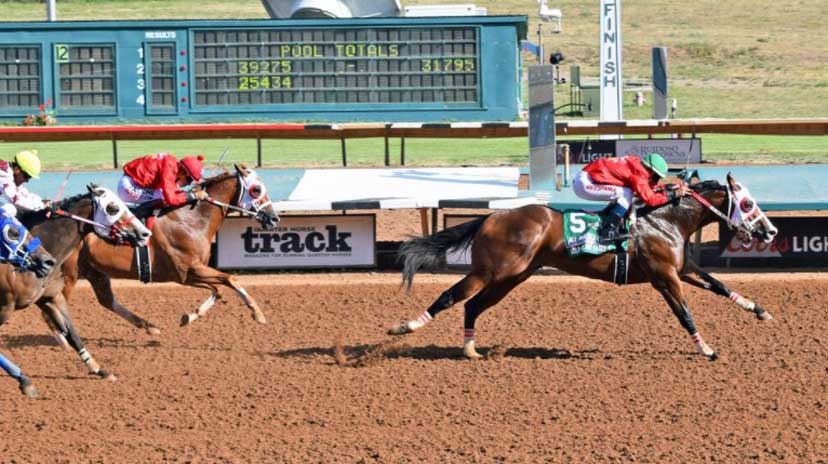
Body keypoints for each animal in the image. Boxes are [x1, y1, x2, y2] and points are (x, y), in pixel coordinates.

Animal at [3, 184, 150, 397]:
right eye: (113, 208)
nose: (145, 233)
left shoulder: (51, 297)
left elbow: (72, 334)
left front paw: (99, 369)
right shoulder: (6, 306)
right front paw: (24, 381)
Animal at [60, 164, 280, 333]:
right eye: (257, 189)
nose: (274, 218)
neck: (192, 219)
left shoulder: (188, 274)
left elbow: (218, 290)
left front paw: (190, 316)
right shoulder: (188, 270)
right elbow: (231, 279)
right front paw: (257, 313)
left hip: (94, 271)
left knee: (106, 300)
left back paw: (150, 327)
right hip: (69, 274)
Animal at [389, 173, 778, 361]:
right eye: (747, 203)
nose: (770, 231)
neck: (666, 220)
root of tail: (491, 216)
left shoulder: (683, 269)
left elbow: (721, 286)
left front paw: (760, 311)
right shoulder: (665, 277)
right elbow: (685, 314)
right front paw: (706, 350)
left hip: (512, 277)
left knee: (472, 305)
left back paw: (470, 349)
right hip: (491, 271)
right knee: (450, 296)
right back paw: (405, 327)